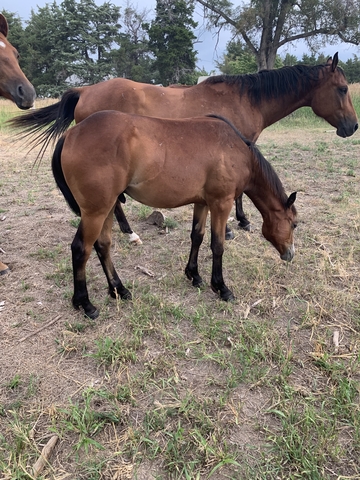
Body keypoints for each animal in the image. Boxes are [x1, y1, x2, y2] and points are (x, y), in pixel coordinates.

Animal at [9, 54, 356, 240]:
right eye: (342, 89)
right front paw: (238, 225)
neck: (245, 99)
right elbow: (238, 194)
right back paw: (129, 232)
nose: (352, 127)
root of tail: (85, 90)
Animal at [51, 113, 298, 320]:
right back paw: (85, 304)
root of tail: (71, 134)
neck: (235, 149)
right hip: (96, 212)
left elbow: (197, 236)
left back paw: (118, 289)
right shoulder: (221, 203)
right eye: (294, 224)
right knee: (81, 249)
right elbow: (217, 245)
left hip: (109, 207)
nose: (290, 255)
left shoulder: (202, 203)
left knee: (103, 245)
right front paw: (221, 287)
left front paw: (193, 275)